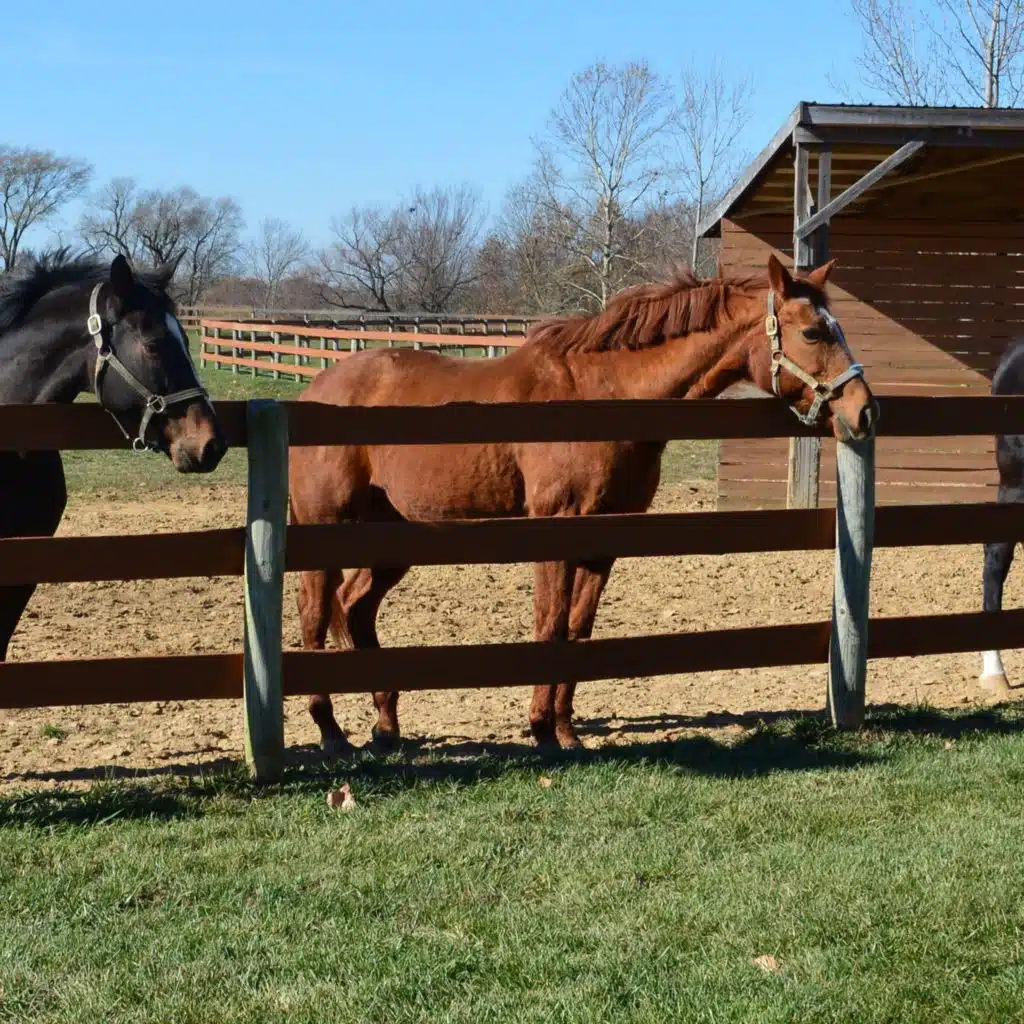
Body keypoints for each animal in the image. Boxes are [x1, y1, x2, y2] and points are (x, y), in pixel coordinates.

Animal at [289, 254, 878, 755]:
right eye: (813, 331)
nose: (865, 411)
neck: (602, 395)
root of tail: (314, 390)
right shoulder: (557, 530)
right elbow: (549, 626)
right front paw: (539, 730)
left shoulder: (604, 539)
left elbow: (578, 631)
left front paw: (566, 732)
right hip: (326, 530)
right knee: (316, 615)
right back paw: (331, 733)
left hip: (395, 537)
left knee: (356, 606)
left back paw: (386, 726)